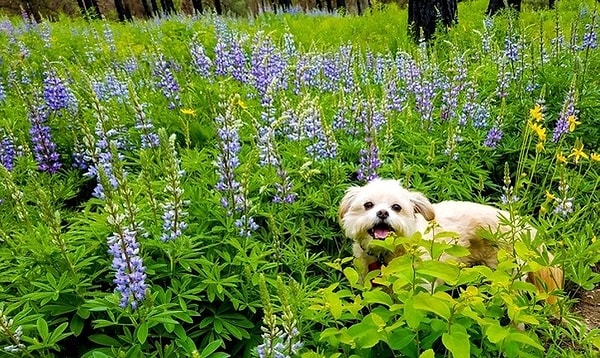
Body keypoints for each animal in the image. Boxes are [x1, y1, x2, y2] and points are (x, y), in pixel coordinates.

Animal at [340, 179, 564, 302]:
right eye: (368, 205)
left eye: (396, 207)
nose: (382, 213)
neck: (386, 254)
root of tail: (521, 226)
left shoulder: (420, 287)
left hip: (508, 279)